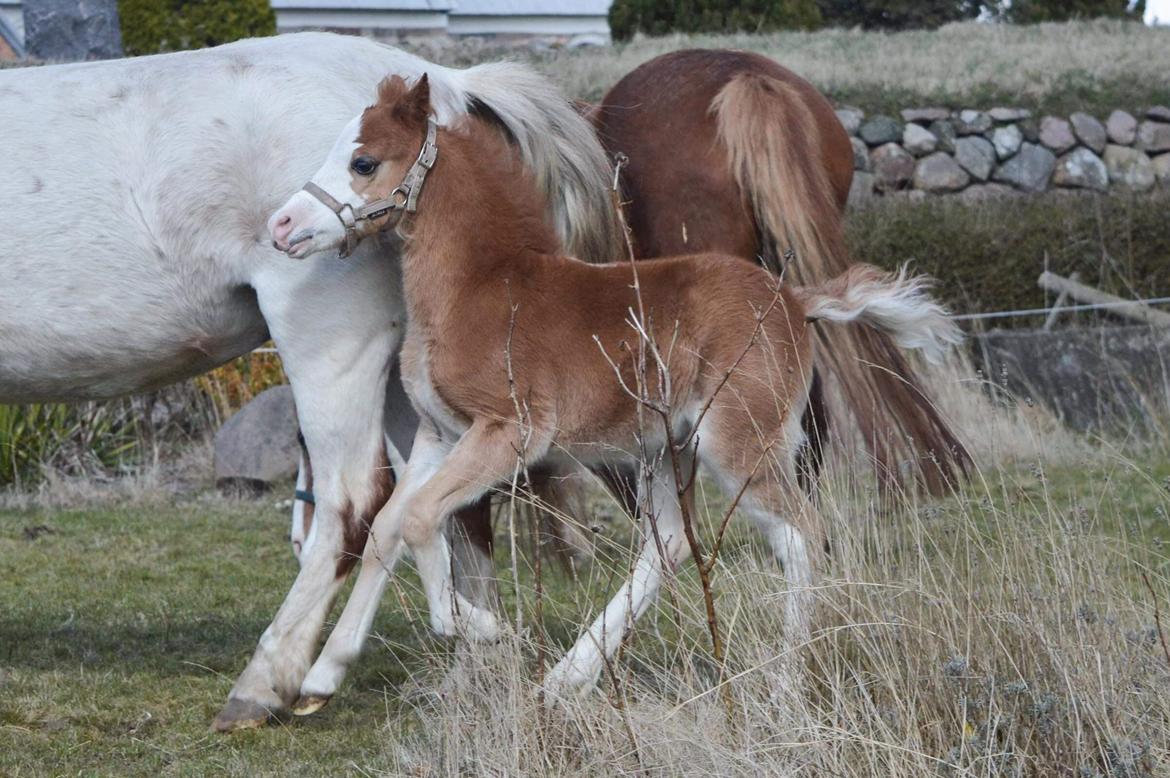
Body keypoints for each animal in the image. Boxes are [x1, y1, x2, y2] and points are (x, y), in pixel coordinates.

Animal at [0, 31, 622, 730]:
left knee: (353, 506)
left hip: (331, 350)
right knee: (444, 509)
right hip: (412, 389)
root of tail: (449, 81)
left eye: (363, 161)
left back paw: (267, 681)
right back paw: (466, 670)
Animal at [267, 72, 959, 701]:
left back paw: (786, 679)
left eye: (363, 161)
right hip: (666, 448)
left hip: (738, 444)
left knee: (799, 534)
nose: (281, 225)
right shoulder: (441, 434)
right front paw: (323, 675)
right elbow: (389, 526)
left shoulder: (512, 432)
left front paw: (487, 630)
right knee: (671, 545)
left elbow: (416, 520)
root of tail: (793, 299)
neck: (477, 286)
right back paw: (566, 678)